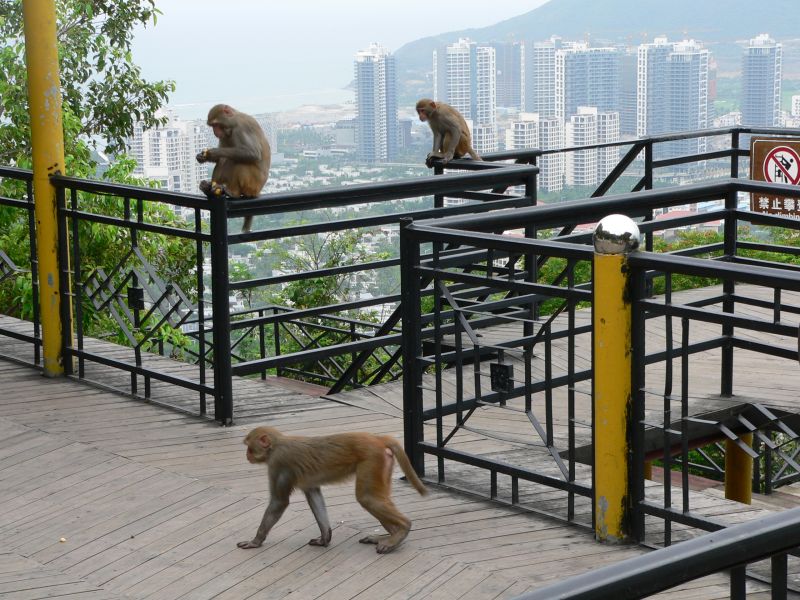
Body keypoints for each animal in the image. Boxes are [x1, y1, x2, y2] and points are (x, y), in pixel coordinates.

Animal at [196, 104, 271, 233]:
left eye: (216, 125)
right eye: (212, 126)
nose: (215, 132)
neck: (232, 124)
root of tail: (258, 191)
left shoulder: (241, 128)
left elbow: (253, 153)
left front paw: (213, 152)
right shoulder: (225, 135)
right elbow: (220, 157)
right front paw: (202, 157)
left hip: (253, 184)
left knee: (237, 161)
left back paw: (233, 193)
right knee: (224, 160)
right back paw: (209, 189)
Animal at [237, 426, 427, 554]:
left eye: (249, 447)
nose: (246, 455)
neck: (276, 445)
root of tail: (376, 439)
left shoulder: (278, 463)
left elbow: (279, 502)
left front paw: (255, 541)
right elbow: (313, 494)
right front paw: (324, 538)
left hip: (372, 459)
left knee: (367, 498)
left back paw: (402, 529)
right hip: (382, 462)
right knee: (376, 497)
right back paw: (391, 536)